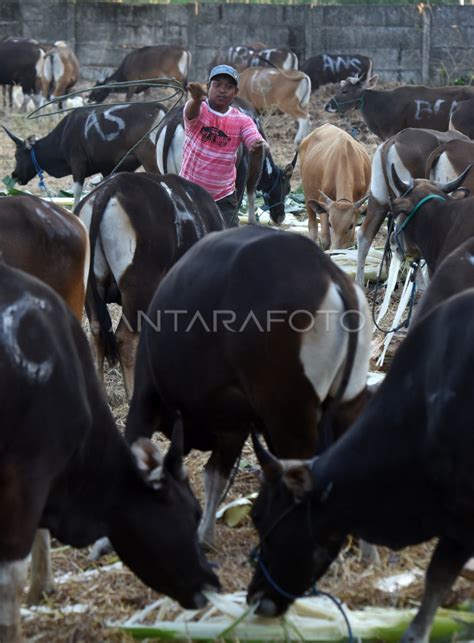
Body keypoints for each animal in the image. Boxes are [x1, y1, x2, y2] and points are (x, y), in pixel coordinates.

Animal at [2, 102, 167, 206]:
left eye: (18, 155)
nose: (14, 175)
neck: (63, 136)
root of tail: (157, 108)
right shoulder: (107, 168)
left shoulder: (77, 163)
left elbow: (77, 192)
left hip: (150, 160)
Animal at [126, 225, 374, 548]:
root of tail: (329, 274)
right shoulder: (239, 423)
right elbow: (216, 474)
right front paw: (205, 536)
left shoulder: (146, 397)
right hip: (345, 403)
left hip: (289, 414)